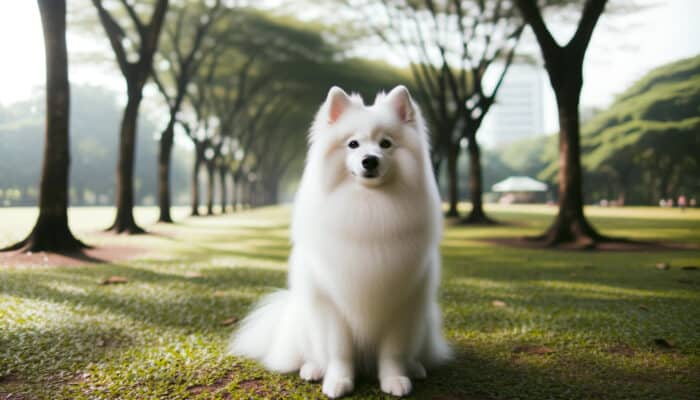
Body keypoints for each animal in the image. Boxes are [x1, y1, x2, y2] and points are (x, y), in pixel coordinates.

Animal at [230, 84, 448, 396]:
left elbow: (392, 352)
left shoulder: (401, 302)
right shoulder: (332, 302)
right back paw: (313, 369)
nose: (370, 160)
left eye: (385, 144)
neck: (368, 205)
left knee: (416, 352)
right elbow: (339, 351)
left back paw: (416, 368)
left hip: (424, 321)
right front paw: (338, 381)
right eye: (353, 144)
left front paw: (394, 379)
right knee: (310, 354)